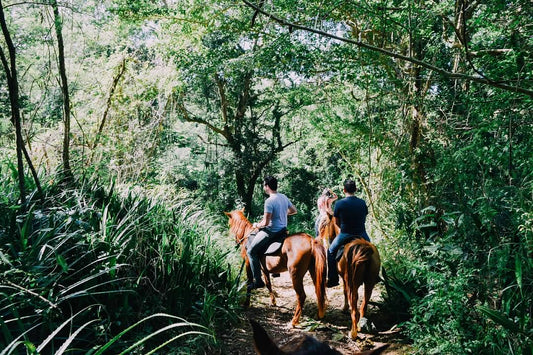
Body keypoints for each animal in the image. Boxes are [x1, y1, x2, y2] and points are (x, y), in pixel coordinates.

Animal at [318, 211, 380, 340]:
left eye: (325, 225)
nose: (323, 240)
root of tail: (364, 248)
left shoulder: (344, 279)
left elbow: (344, 292)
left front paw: (345, 308)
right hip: (370, 283)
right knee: (363, 305)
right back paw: (361, 325)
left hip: (353, 283)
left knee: (355, 307)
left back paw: (353, 332)